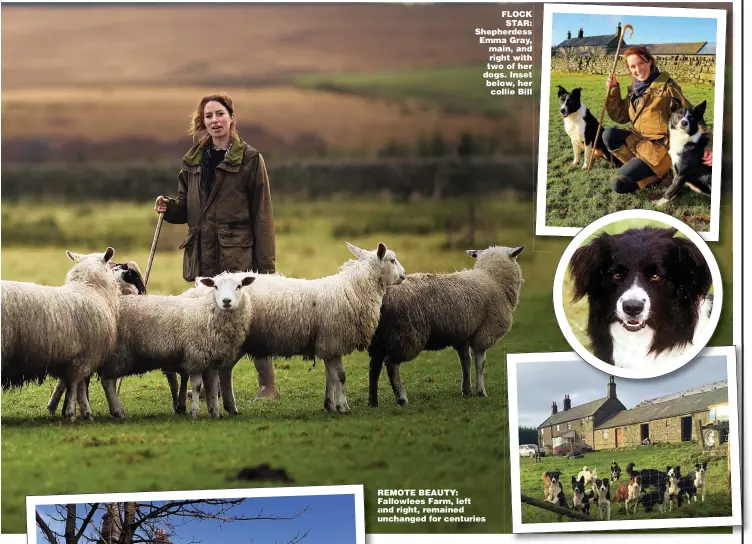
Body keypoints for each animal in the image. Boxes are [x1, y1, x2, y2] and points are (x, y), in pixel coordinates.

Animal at [1, 246, 120, 420]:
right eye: (110, 264)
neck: (90, 289)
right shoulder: (85, 357)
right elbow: (77, 385)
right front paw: (74, 413)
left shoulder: (75, 358)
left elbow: (77, 385)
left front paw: (82, 413)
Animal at [99, 274, 256, 418]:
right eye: (215, 287)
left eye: (239, 286)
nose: (226, 301)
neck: (205, 313)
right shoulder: (195, 356)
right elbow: (197, 386)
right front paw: (194, 413)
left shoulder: (212, 360)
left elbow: (212, 385)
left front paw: (215, 413)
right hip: (118, 353)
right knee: (108, 381)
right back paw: (118, 412)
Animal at [184, 242, 406, 412]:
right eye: (392, 260)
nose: (404, 275)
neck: (352, 289)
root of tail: (198, 289)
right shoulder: (333, 340)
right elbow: (340, 377)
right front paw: (343, 408)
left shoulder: (326, 343)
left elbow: (330, 377)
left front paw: (330, 405)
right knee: (221, 371)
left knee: (224, 371)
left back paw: (231, 408)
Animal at [368, 244, 524, 406]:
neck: (493, 279)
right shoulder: (484, 334)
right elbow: (480, 363)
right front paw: (481, 391)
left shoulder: (462, 336)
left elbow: (466, 362)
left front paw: (467, 390)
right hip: (406, 335)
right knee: (391, 364)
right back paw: (401, 398)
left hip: (379, 339)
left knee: (374, 368)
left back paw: (373, 402)